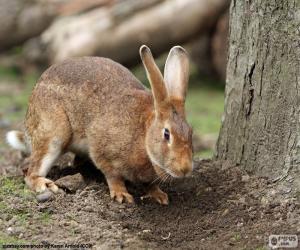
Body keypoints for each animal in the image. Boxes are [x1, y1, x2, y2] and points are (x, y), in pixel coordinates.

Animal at [5, 45, 193, 205]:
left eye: (190, 133)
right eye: (166, 134)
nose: (185, 169)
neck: (143, 134)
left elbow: (150, 185)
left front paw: (159, 195)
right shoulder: (102, 150)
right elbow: (112, 175)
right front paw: (122, 195)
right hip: (53, 133)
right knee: (31, 173)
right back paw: (46, 185)